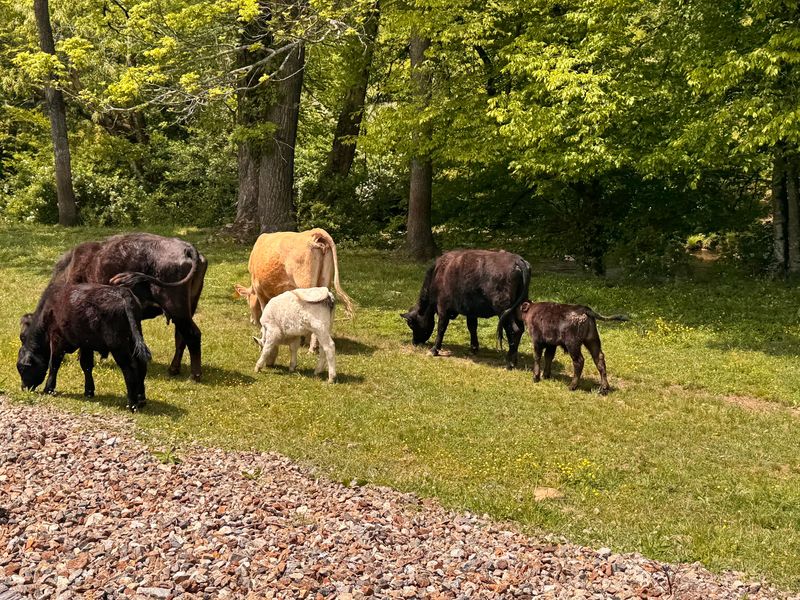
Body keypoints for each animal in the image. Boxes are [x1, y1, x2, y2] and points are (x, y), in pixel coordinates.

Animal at [17, 282, 151, 411]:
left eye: (23, 369)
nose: (24, 388)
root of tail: (123, 293)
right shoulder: (86, 344)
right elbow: (86, 365)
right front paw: (89, 391)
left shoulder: (56, 338)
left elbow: (54, 364)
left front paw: (48, 389)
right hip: (134, 338)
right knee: (141, 364)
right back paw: (141, 399)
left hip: (117, 345)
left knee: (129, 368)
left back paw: (132, 404)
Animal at [50, 233, 207, 380]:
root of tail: (186, 248)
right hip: (185, 310)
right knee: (181, 337)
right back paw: (174, 369)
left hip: (176, 309)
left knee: (192, 335)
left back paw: (194, 376)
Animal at [401, 249, 531, 368]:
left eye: (411, 324)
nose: (415, 342)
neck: (438, 273)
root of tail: (517, 260)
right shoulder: (471, 311)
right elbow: (472, 327)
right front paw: (474, 348)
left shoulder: (443, 308)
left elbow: (441, 328)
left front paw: (434, 350)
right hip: (519, 307)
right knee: (520, 329)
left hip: (503, 309)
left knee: (514, 330)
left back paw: (510, 362)